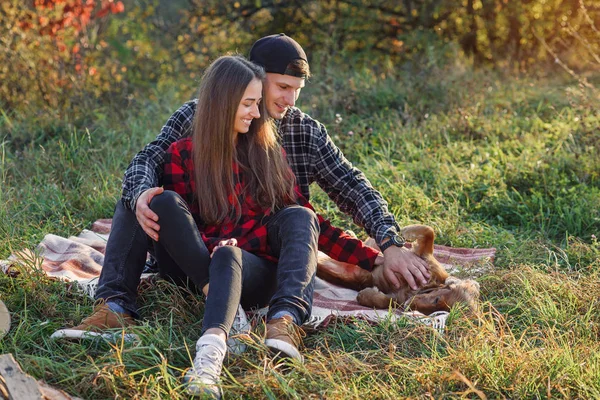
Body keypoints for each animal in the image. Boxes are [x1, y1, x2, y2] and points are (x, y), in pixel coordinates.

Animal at [316, 223, 480, 314]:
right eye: (436, 300)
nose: (408, 307)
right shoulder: (424, 257)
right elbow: (429, 232)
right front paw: (405, 231)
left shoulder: (396, 297)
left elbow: (383, 301)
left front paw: (365, 295)